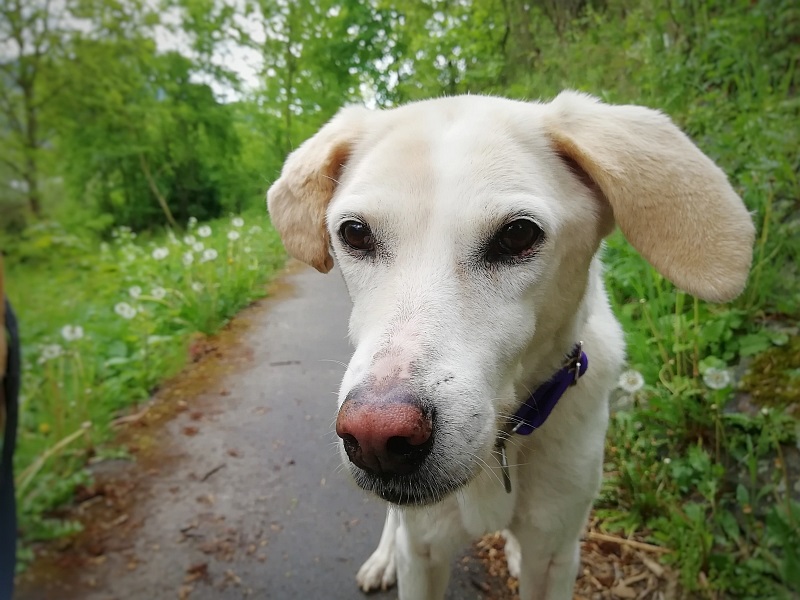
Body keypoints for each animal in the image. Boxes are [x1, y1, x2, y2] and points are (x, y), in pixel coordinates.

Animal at [267, 92, 754, 599]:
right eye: (355, 233)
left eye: (518, 234)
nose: (375, 438)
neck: (503, 445)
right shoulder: (422, 552)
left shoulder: (556, 553)